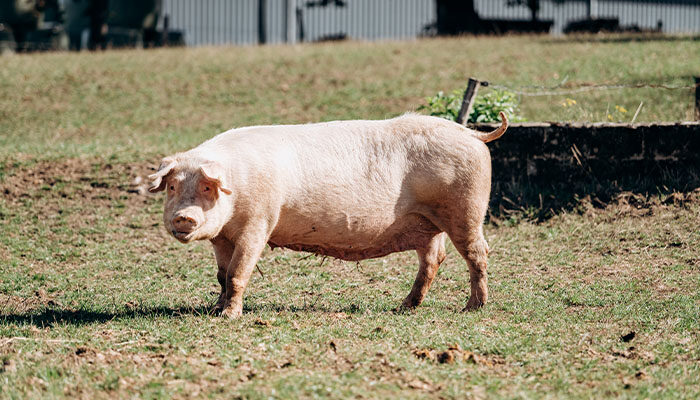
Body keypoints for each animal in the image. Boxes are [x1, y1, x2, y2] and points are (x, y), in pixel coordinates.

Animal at [149, 111, 508, 318]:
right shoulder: (222, 237)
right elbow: (222, 276)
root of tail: (471, 133)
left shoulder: (259, 224)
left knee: (478, 253)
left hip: (465, 210)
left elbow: (239, 273)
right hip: (427, 224)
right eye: (173, 187)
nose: (183, 217)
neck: (238, 185)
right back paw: (404, 307)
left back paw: (472, 307)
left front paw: (229, 317)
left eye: (208, 187)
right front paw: (214, 309)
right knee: (434, 259)